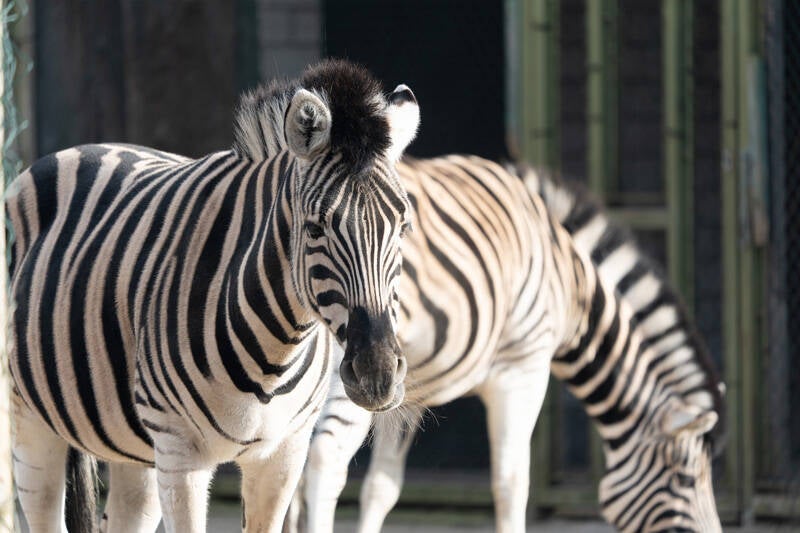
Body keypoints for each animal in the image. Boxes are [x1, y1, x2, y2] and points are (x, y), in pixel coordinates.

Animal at [7, 59, 419, 533]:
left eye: (403, 227)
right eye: (315, 229)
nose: (378, 374)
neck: (275, 355)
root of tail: (84, 148)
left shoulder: (283, 455)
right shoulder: (181, 454)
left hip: (135, 448)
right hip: (31, 421)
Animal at [294, 156, 725, 533]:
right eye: (686, 479)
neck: (570, 277)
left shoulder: (410, 392)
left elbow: (380, 488)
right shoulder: (522, 369)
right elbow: (512, 482)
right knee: (325, 461)